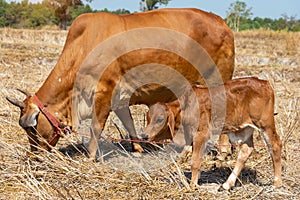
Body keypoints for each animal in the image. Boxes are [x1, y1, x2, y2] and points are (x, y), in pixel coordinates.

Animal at [5, 8, 234, 160]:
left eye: (32, 129)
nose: (34, 156)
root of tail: (220, 21)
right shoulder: (120, 99)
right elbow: (129, 123)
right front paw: (138, 148)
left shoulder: (104, 92)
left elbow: (96, 127)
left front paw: (90, 156)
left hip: (217, 80)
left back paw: (222, 152)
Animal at [142, 77, 282, 190]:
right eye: (148, 118)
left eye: (160, 119)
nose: (144, 135)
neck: (185, 107)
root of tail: (265, 83)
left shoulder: (201, 134)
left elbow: (195, 162)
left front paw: (192, 185)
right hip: (244, 129)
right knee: (246, 150)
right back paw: (227, 185)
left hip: (265, 124)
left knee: (275, 145)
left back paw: (276, 183)